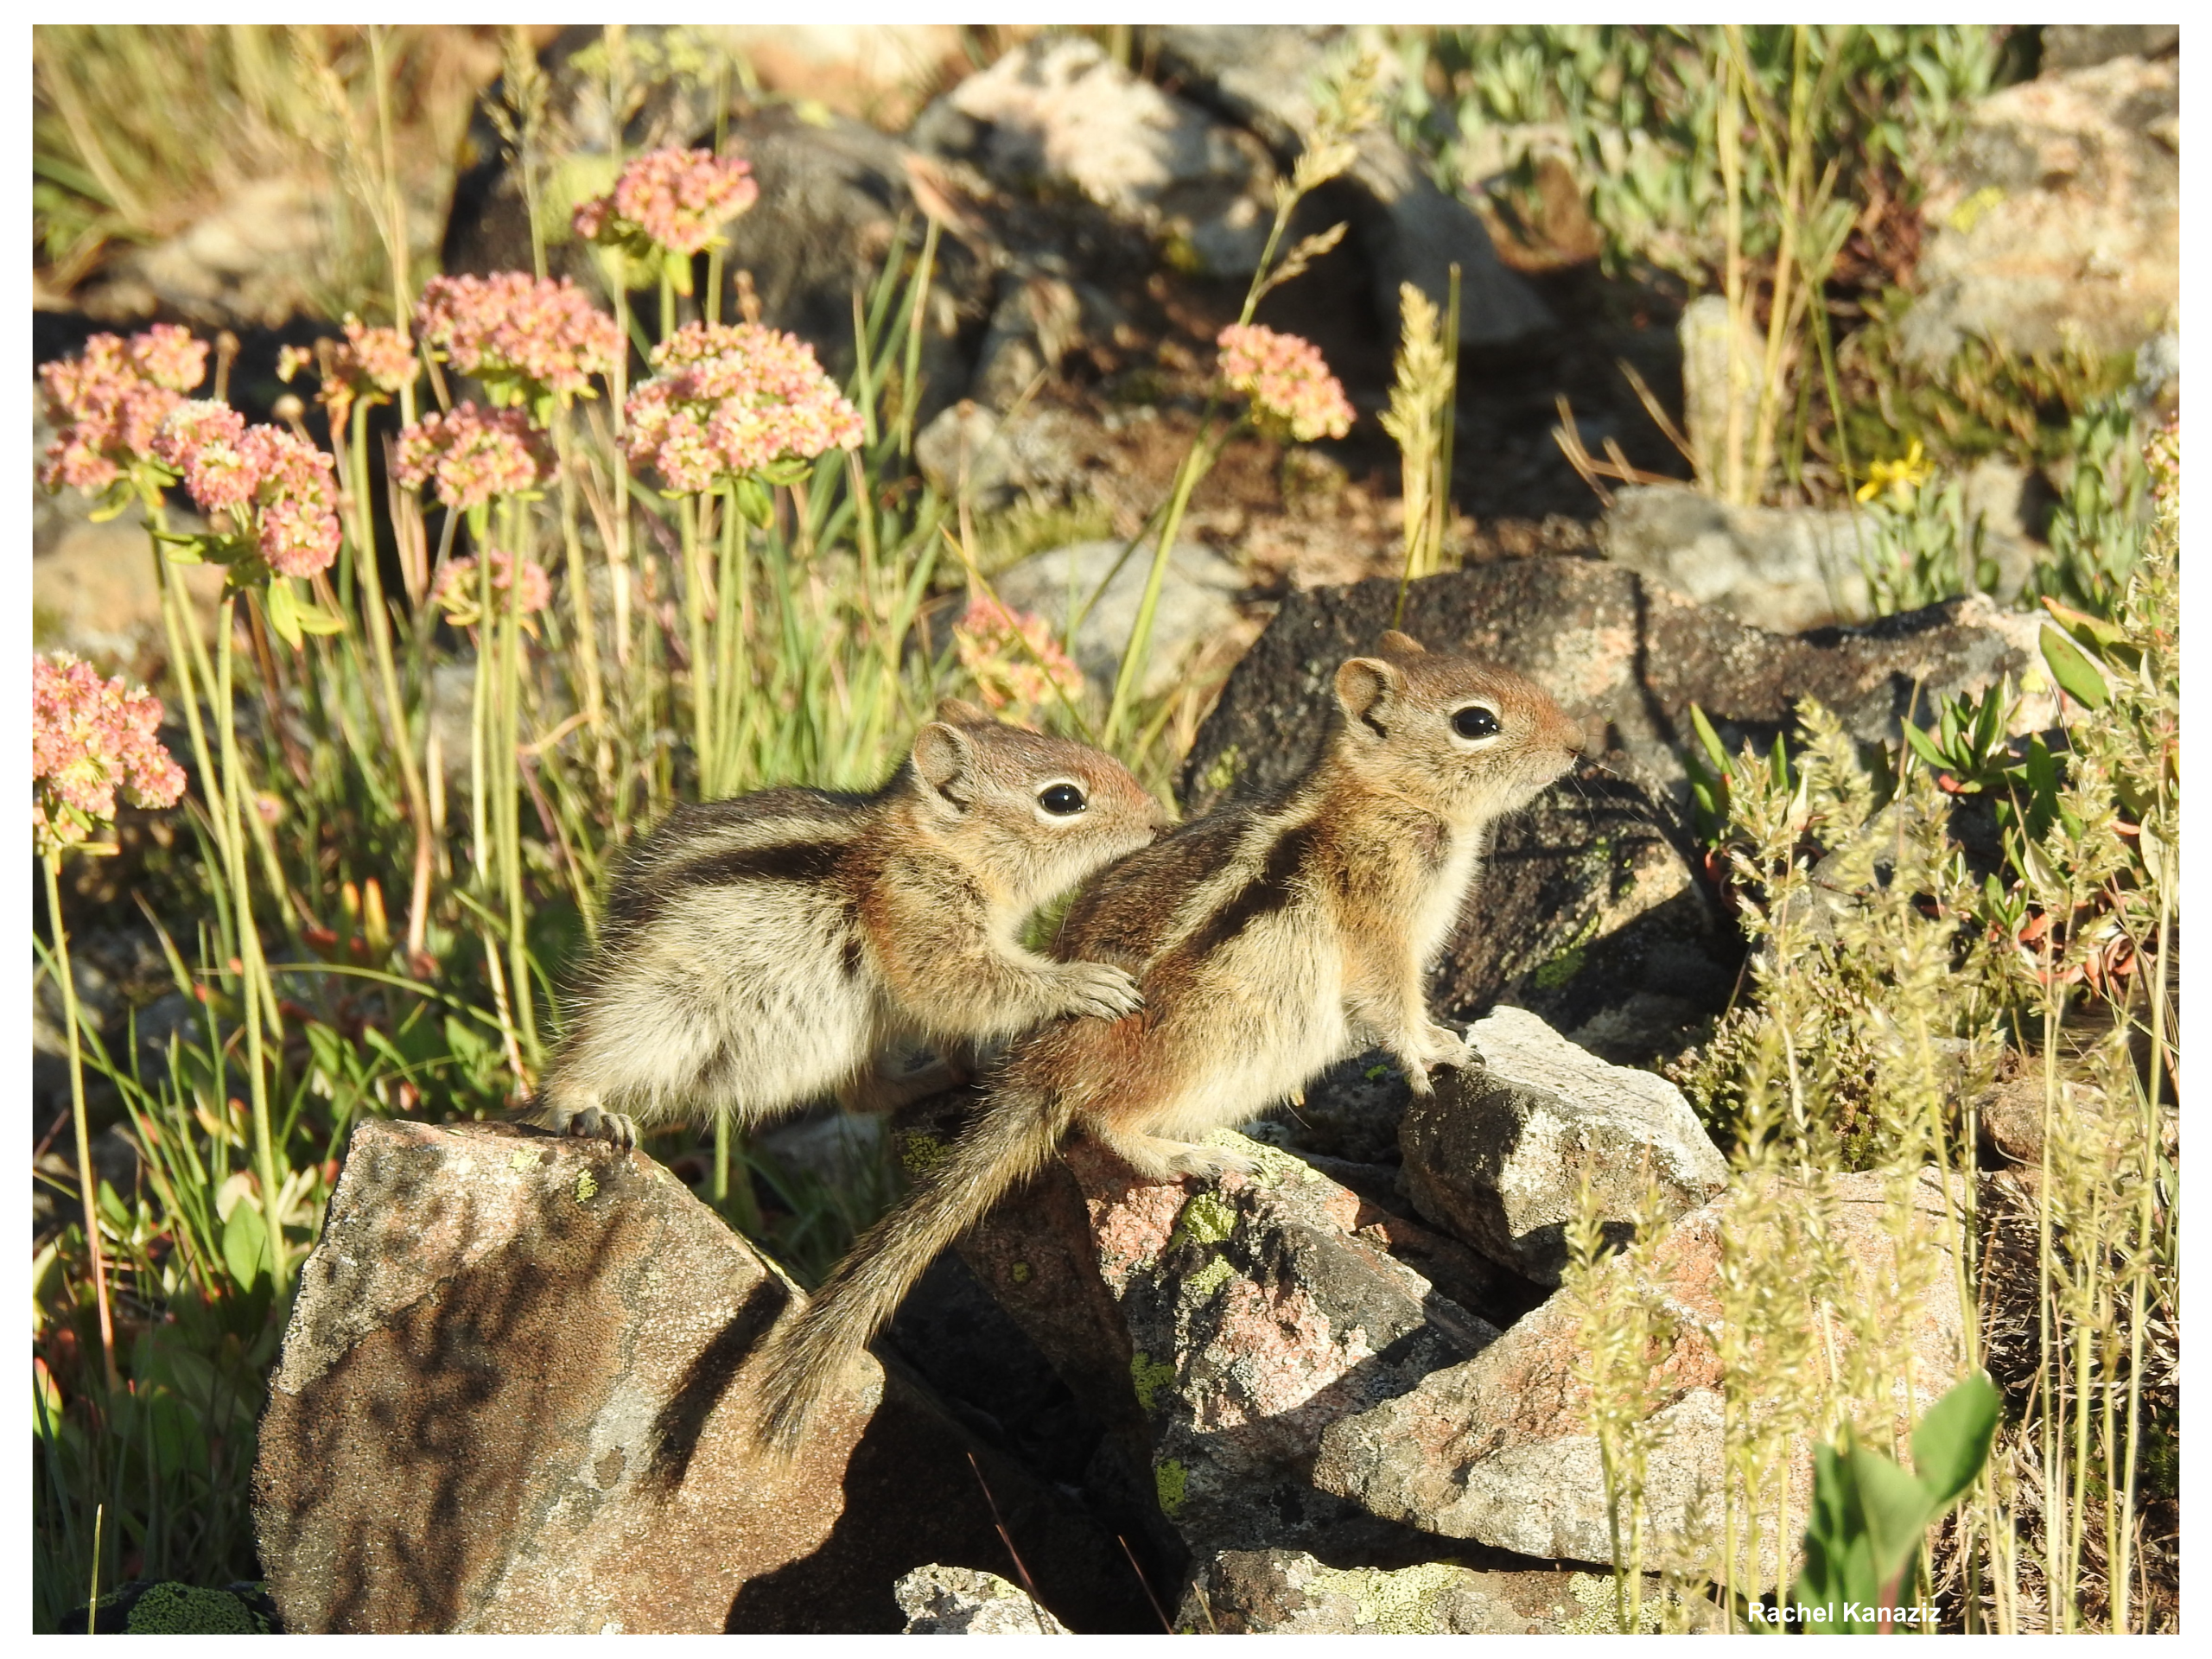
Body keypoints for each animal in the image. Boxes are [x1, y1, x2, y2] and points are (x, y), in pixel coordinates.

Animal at [526, 699, 1172, 1151]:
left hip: (858, 1037)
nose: (1158, 821)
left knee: (865, 1095)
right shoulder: (918, 915)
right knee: (583, 1057)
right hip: (657, 1007)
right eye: (1063, 800)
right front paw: (1084, 981)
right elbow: (959, 982)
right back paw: (582, 1108)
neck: (933, 845)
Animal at [752, 631, 1587, 1452]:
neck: (1382, 795)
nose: (1578, 746)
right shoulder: (1384, 925)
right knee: (1105, 1122)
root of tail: (1045, 1067)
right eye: (1476, 721)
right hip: (1196, 1059)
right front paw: (1435, 1052)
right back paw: (1194, 1157)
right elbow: (1392, 1006)